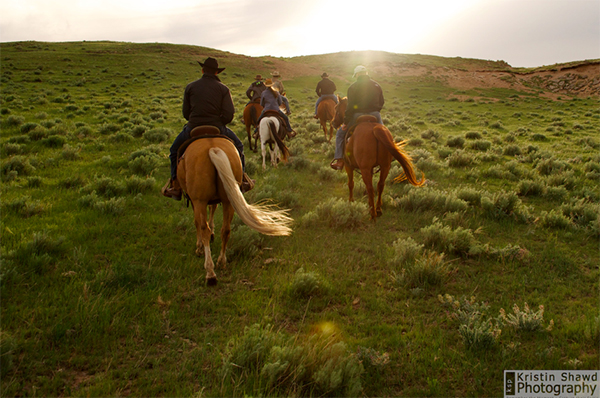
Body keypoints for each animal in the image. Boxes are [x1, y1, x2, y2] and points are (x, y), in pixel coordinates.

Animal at [177, 129, 292, 284]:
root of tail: (213, 148)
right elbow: (213, 209)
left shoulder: (196, 200)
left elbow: (198, 223)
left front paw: (199, 247)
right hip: (228, 199)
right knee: (226, 229)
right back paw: (221, 261)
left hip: (201, 200)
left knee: (204, 228)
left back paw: (210, 272)